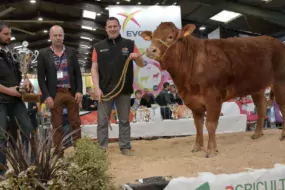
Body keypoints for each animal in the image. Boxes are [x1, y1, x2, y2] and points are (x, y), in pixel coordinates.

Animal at [139, 21, 284, 157]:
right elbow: (198, 125)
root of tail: (277, 42)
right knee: (261, 108)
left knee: (282, 108)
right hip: (257, 88)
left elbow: (210, 124)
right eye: (152, 36)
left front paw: (211, 150)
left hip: (279, 83)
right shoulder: (193, 101)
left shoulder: (213, 97)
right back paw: (257, 134)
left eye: (170, 36)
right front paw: (197, 146)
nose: (150, 50)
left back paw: (282, 136)